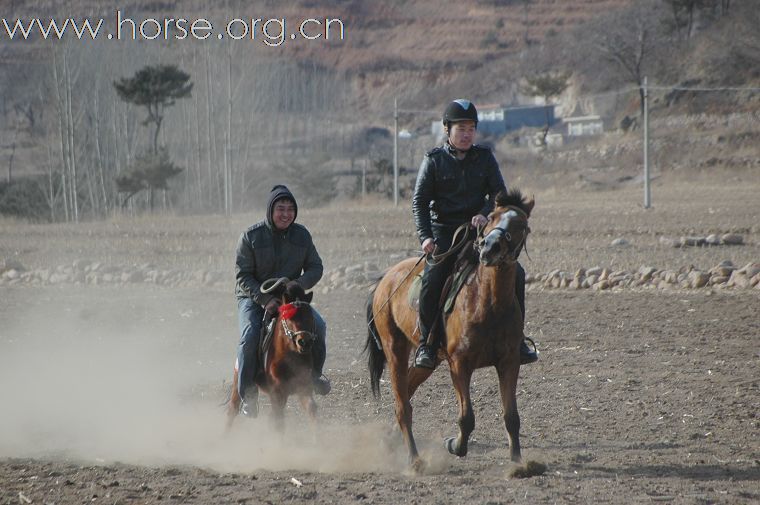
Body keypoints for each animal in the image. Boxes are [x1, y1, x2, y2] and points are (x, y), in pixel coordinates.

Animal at [227, 278, 320, 432]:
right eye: (289, 317)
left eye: (310, 316)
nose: (304, 342)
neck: (290, 358)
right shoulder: (277, 393)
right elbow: (279, 423)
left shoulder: (303, 388)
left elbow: (312, 409)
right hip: (237, 385)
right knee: (232, 410)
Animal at [366, 187, 536, 470]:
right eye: (491, 217)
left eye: (521, 225)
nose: (489, 248)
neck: (487, 302)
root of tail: (385, 280)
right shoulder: (459, 364)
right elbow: (466, 417)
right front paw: (454, 445)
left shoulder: (510, 361)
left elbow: (512, 416)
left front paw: (518, 464)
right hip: (394, 349)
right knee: (403, 406)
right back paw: (415, 460)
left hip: (430, 361)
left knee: (407, 390)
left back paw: (390, 439)